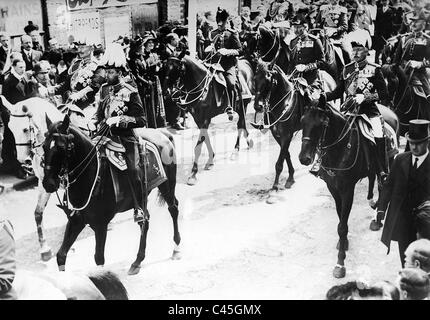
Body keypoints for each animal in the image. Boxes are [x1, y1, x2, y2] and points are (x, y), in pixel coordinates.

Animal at [0, 96, 91, 262]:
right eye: (10, 129)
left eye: (25, 129)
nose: (23, 160)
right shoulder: (45, 184)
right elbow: (38, 213)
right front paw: (45, 248)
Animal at [41, 115, 181, 276]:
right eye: (44, 146)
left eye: (62, 147)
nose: (48, 183)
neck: (92, 172)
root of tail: (162, 133)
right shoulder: (77, 220)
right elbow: (61, 255)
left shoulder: (100, 224)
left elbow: (99, 259)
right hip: (142, 196)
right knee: (145, 221)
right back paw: (137, 261)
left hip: (167, 184)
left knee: (173, 208)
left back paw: (176, 249)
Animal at [163, 53, 254, 185]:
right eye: (164, 67)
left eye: (178, 69)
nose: (166, 91)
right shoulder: (199, 119)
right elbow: (205, 138)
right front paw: (211, 160)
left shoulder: (205, 119)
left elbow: (198, 146)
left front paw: (193, 174)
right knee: (242, 125)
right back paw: (248, 142)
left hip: (243, 106)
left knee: (240, 125)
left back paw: (235, 151)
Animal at [298, 102, 398, 278]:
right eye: (303, 121)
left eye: (321, 124)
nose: (304, 158)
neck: (340, 148)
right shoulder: (333, 189)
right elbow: (340, 220)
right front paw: (342, 243)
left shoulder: (347, 190)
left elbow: (342, 227)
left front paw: (340, 263)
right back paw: (375, 211)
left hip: (389, 162)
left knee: (384, 186)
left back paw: (378, 218)